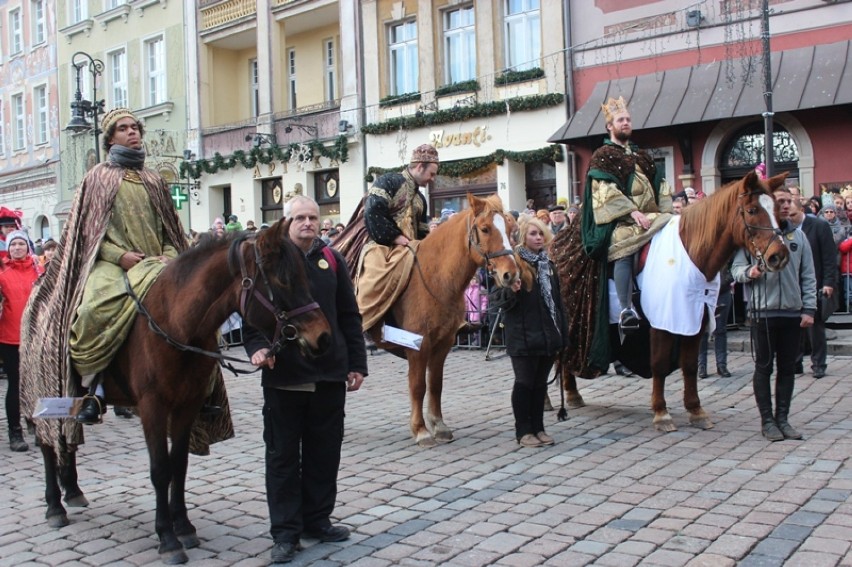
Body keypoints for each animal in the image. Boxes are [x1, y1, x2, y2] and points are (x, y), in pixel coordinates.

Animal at [372, 195, 520, 448]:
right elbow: (418, 386)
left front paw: (438, 425)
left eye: (511, 230)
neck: (435, 278)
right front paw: (421, 430)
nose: (511, 275)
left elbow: (435, 384)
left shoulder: (443, 343)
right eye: (485, 229)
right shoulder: (418, 345)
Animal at [556, 171, 788, 432]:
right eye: (751, 210)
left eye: (777, 209)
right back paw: (564, 396)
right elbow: (658, 364)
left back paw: (572, 395)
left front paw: (696, 410)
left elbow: (689, 365)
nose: (778, 256)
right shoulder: (662, 323)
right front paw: (661, 413)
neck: (692, 252)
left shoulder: (695, 320)